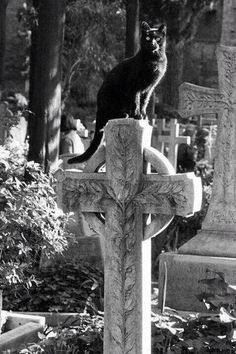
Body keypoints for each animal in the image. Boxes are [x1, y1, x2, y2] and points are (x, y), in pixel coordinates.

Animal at [68, 19, 168, 163]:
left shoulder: (150, 88)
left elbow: (144, 102)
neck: (154, 60)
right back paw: (125, 114)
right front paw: (137, 115)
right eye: (148, 38)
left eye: (158, 39)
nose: (153, 43)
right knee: (110, 116)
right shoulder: (135, 86)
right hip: (111, 96)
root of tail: (98, 107)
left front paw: (143, 115)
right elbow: (136, 101)